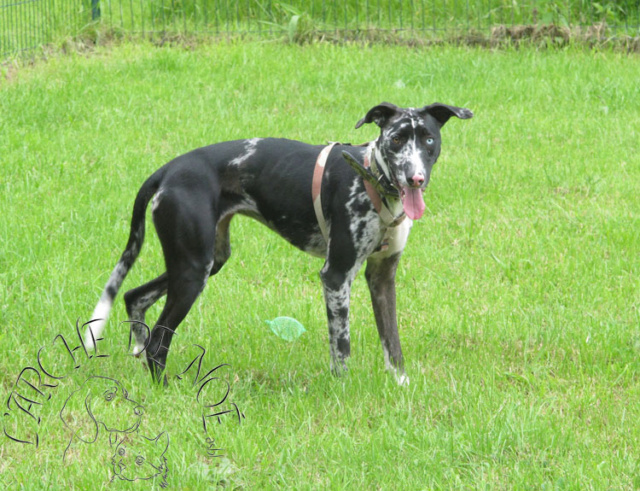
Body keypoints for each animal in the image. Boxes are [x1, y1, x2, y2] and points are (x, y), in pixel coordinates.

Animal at [85, 103, 470, 384]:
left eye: (428, 140)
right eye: (395, 140)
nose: (415, 177)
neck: (372, 178)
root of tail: (167, 171)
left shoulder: (382, 278)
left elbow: (393, 345)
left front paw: (401, 386)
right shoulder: (336, 277)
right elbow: (341, 347)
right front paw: (343, 389)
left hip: (204, 262)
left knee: (134, 297)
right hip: (192, 272)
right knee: (157, 343)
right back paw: (165, 388)